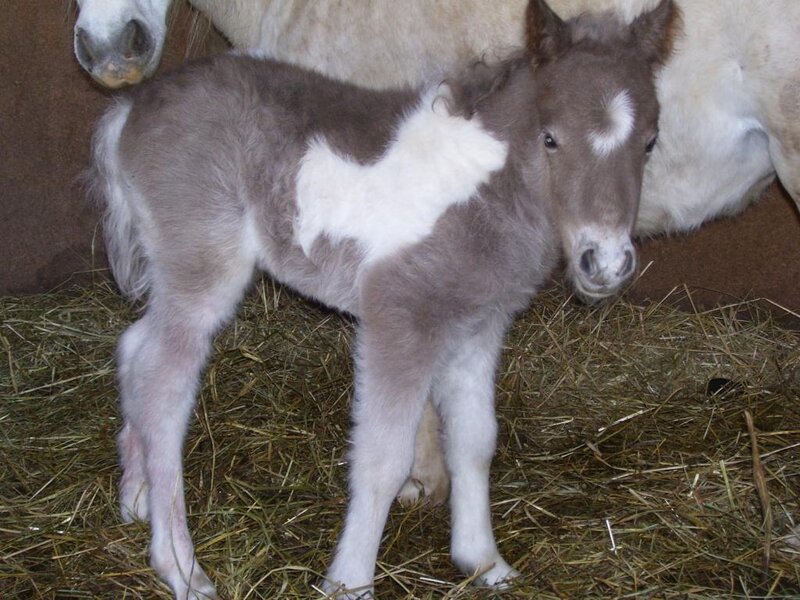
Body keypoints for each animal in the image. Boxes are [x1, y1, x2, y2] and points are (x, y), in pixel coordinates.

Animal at [90, 0, 676, 595]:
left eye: (651, 141)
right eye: (551, 137)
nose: (605, 262)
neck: (482, 189)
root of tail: (131, 108)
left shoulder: (478, 327)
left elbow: (475, 442)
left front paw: (484, 563)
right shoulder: (401, 316)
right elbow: (382, 458)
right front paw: (350, 581)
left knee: (135, 350)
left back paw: (135, 497)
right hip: (204, 268)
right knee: (163, 387)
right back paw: (181, 567)